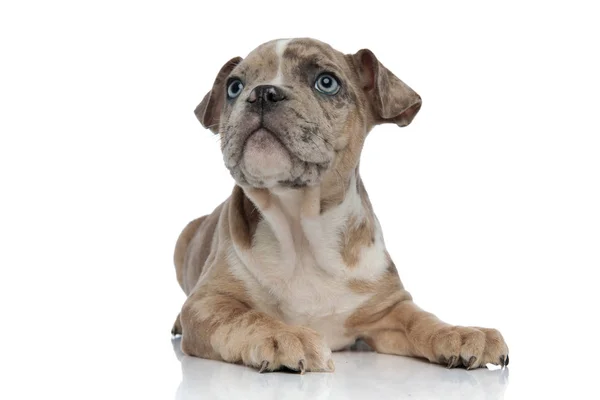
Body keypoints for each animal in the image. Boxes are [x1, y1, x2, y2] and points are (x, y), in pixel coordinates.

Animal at [171, 37, 508, 372]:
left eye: (326, 82)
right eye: (234, 87)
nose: (263, 93)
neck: (301, 228)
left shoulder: (388, 308)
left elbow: (422, 320)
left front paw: (462, 333)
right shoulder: (207, 302)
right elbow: (247, 317)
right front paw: (284, 336)